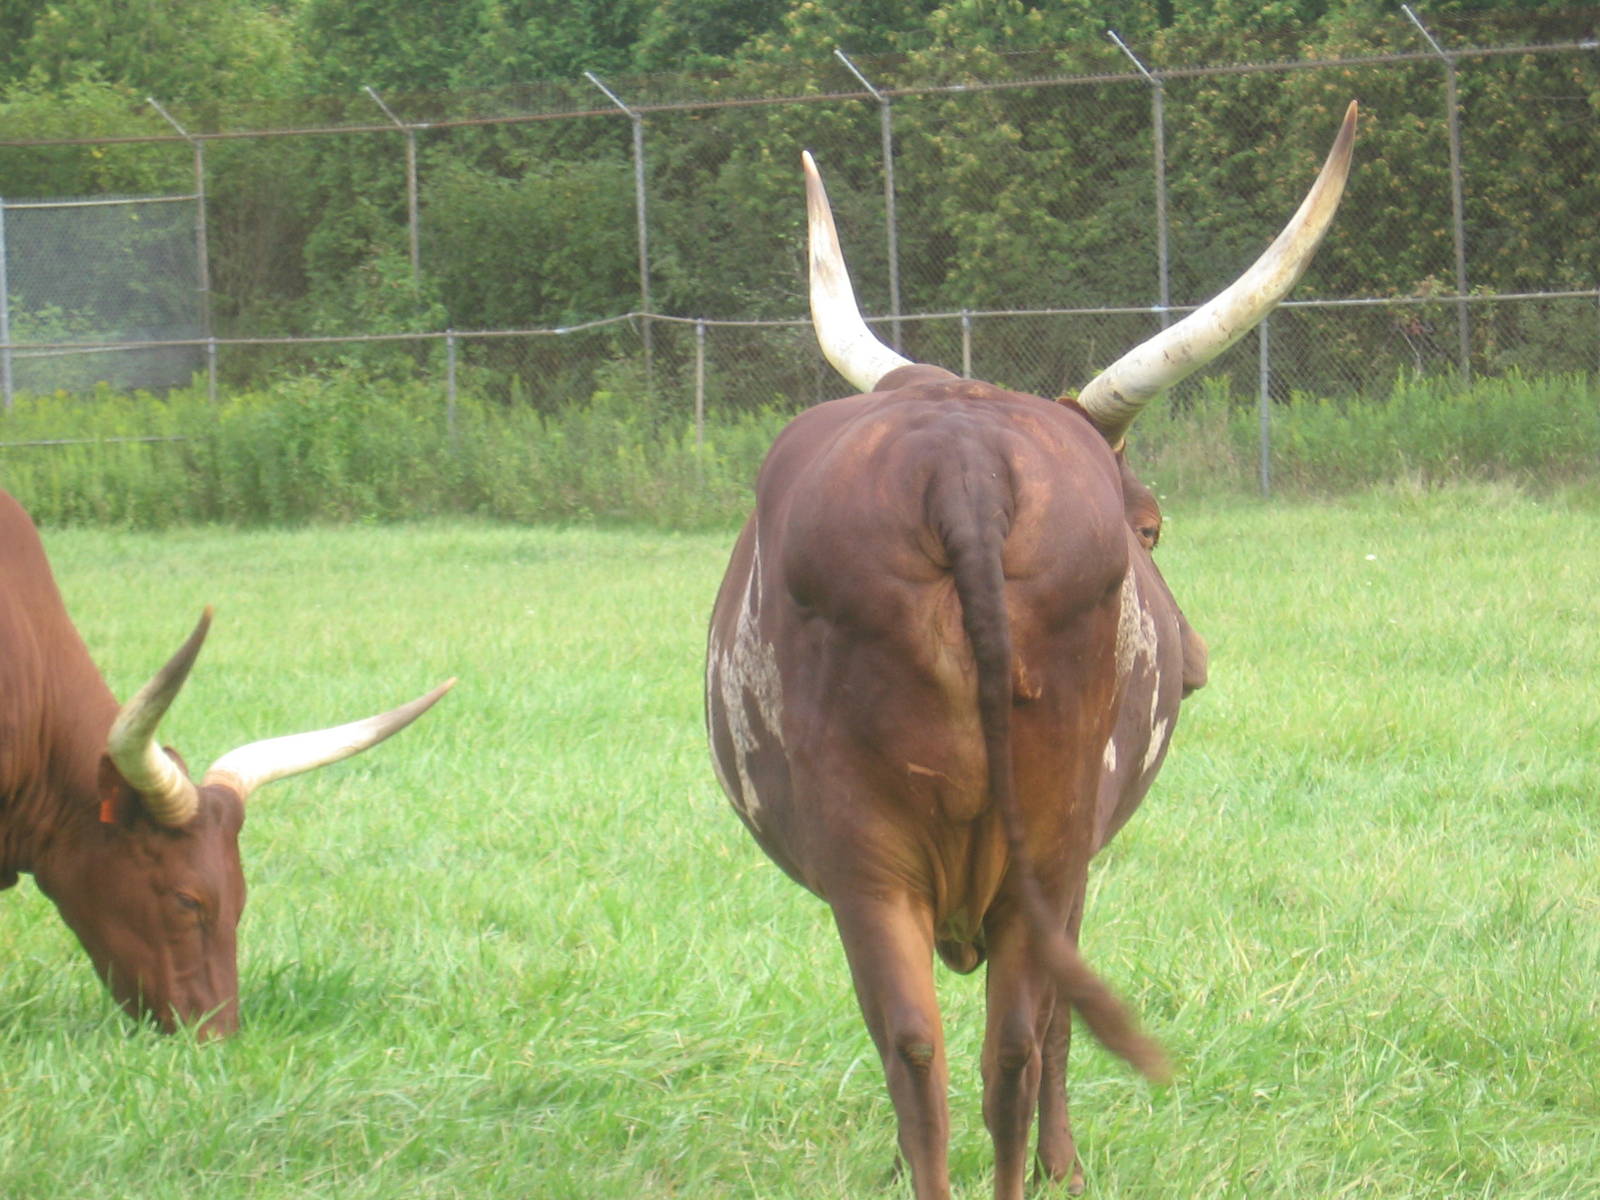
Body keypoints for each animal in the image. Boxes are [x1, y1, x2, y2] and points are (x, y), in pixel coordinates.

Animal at [706, 103, 1356, 1198]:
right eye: (1151, 530)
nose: (1195, 663)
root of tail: (963, 468)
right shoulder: (1076, 862)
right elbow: (1053, 1029)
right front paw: (1068, 1165)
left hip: (902, 864)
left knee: (941, 1043)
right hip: (1006, 855)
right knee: (989, 1039)